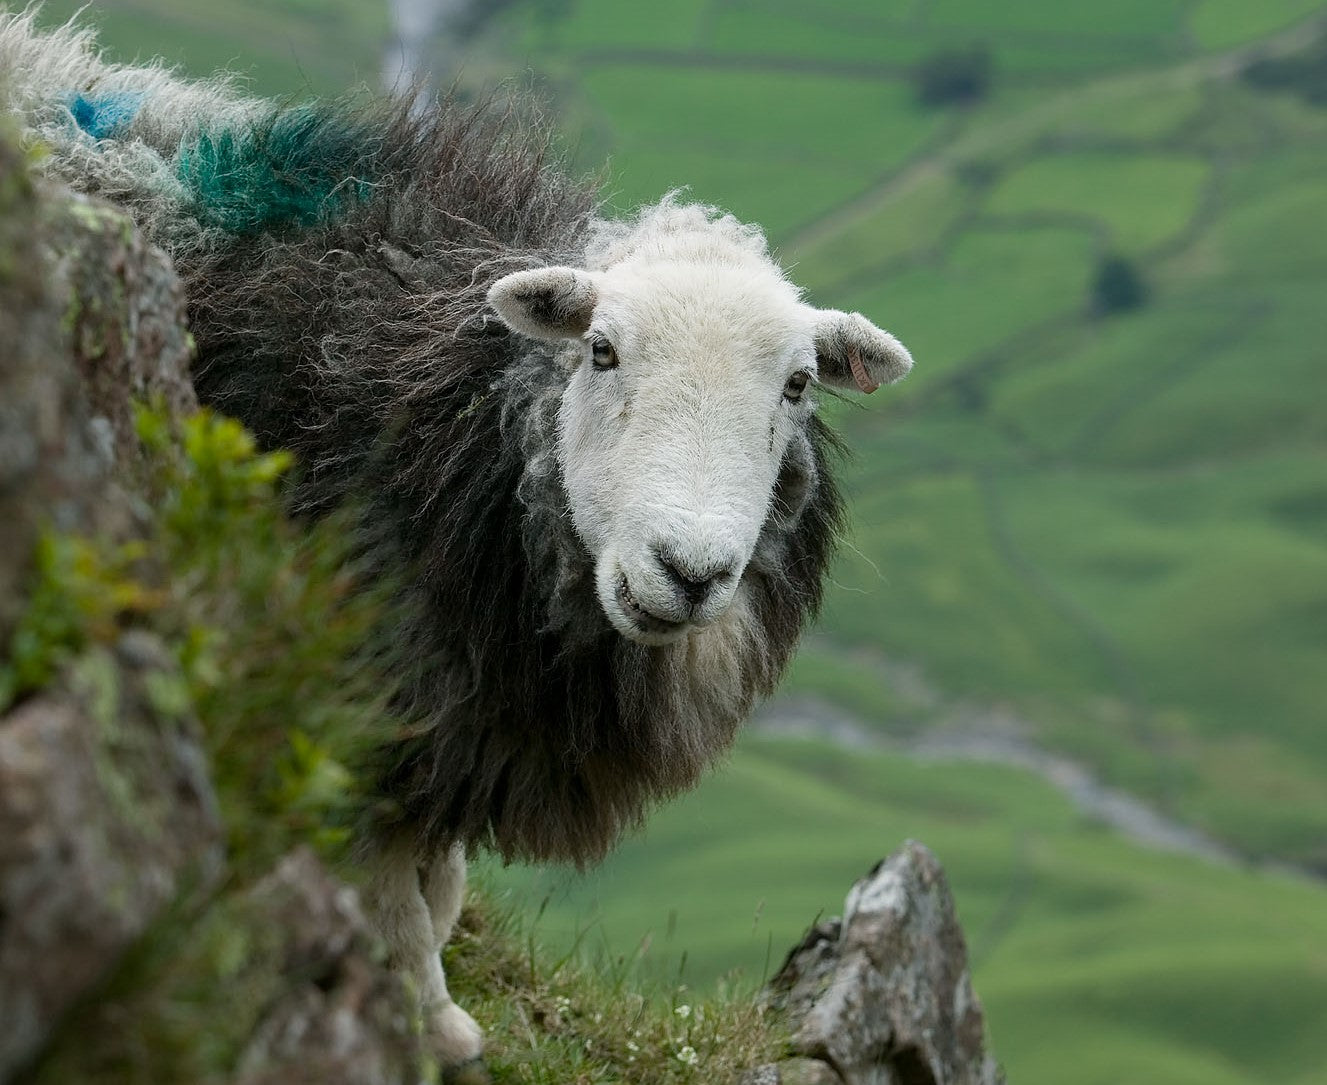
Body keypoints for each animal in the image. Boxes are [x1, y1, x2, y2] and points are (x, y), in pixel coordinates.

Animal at [0, 12, 914, 1078]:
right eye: (600, 349)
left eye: (798, 385)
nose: (688, 573)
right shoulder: (361, 690)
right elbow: (395, 896)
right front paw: (424, 1023)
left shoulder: (462, 716)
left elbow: (436, 886)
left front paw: (431, 1007)